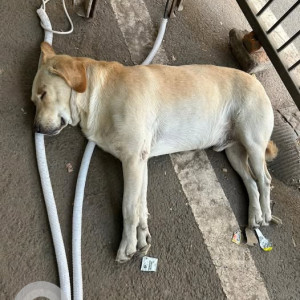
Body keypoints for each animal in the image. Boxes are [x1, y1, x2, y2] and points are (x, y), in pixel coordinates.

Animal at [31, 41, 278, 262]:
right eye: (34, 100)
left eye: (43, 94)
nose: (35, 129)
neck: (99, 94)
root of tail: (257, 81)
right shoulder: (141, 162)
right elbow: (141, 207)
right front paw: (141, 239)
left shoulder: (132, 159)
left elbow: (129, 208)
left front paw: (127, 246)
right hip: (234, 154)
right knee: (250, 181)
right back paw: (255, 215)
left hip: (253, 143)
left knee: (265, 179)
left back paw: (266, 213)